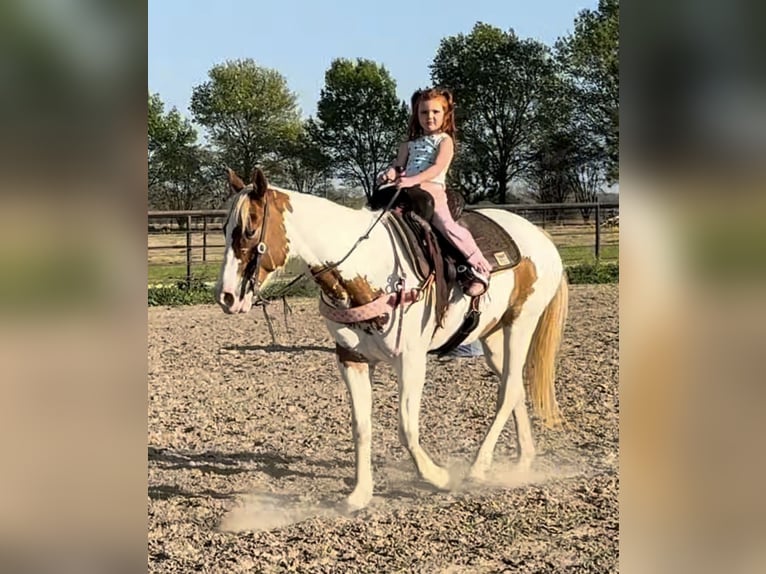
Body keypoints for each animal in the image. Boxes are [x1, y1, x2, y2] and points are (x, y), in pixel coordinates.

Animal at [215, 167, 569, 511]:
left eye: (250, 229)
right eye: (224, 228)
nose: (227, 296)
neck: (367, 266)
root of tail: (539, 236)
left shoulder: (410, 359)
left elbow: (406, 427)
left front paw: (438, 477)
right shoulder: (351, 359)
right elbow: (361, 427)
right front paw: (360, 494)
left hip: (521, 323)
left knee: (507, 391)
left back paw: (478, 467)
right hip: (493, 336)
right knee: (515, 387)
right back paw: (523, 461)